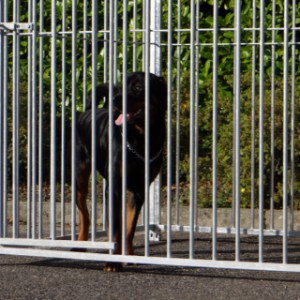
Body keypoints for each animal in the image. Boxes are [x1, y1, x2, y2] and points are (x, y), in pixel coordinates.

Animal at [75, 71, 168, 270]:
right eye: (120, 87)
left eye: (138, 87)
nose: (115, 99)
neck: (139, 139)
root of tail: (88, 111)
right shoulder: (115, 187)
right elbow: (115, 229)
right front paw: (113, 262)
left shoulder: (139, 190)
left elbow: (130, 227)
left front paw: (129, 255)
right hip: (80, 177)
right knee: (84, 213)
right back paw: (79, 244)